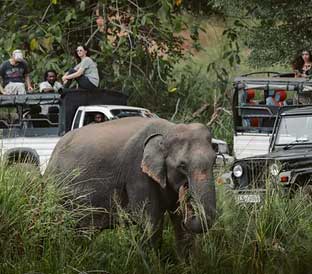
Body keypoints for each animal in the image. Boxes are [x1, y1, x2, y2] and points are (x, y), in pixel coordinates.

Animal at [47, 116, 217, 255]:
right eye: (182, 165)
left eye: (214, 160)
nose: (186, 192)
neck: (167, 130)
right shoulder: (137, 173)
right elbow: (150, 222)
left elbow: (180, 224)